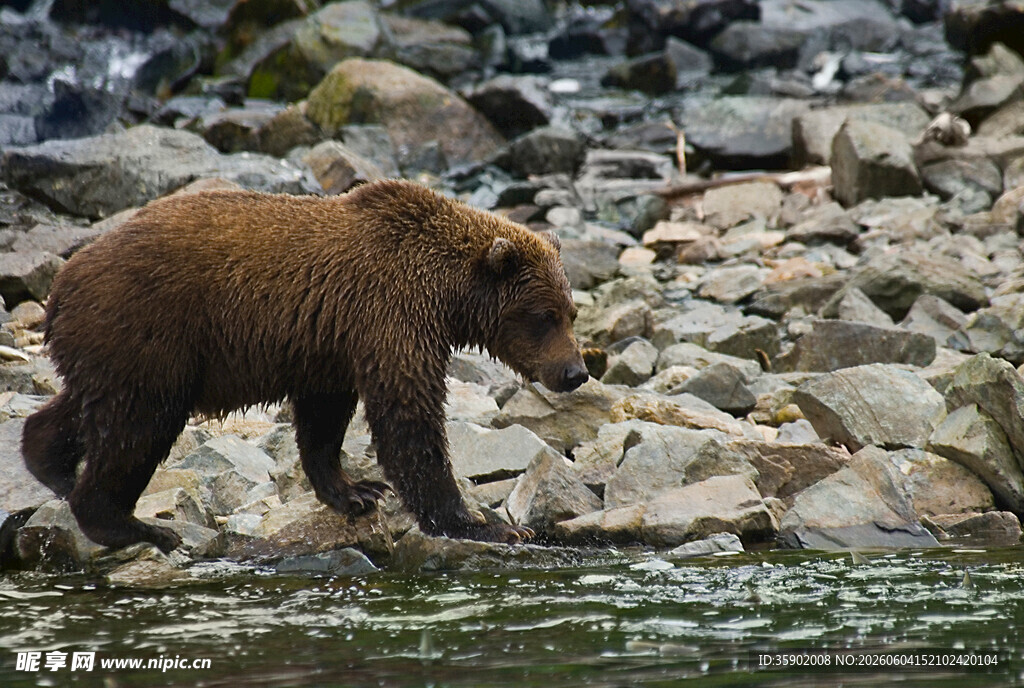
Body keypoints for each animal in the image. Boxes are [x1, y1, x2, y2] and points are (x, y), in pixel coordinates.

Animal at [22, 179, 588, 552]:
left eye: (571, 312)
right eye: (544, 316)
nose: (576, 372)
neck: (446, 296)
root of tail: (61, 285)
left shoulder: (331, 338)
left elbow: (324, 416)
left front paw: (354, 490)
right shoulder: (390, 315)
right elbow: (409, 419)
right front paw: (485, 523)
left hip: (115, 348)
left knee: (87, 407)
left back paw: (49, 463)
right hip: (150, 332)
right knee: (138, 426)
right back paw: (133, 525)